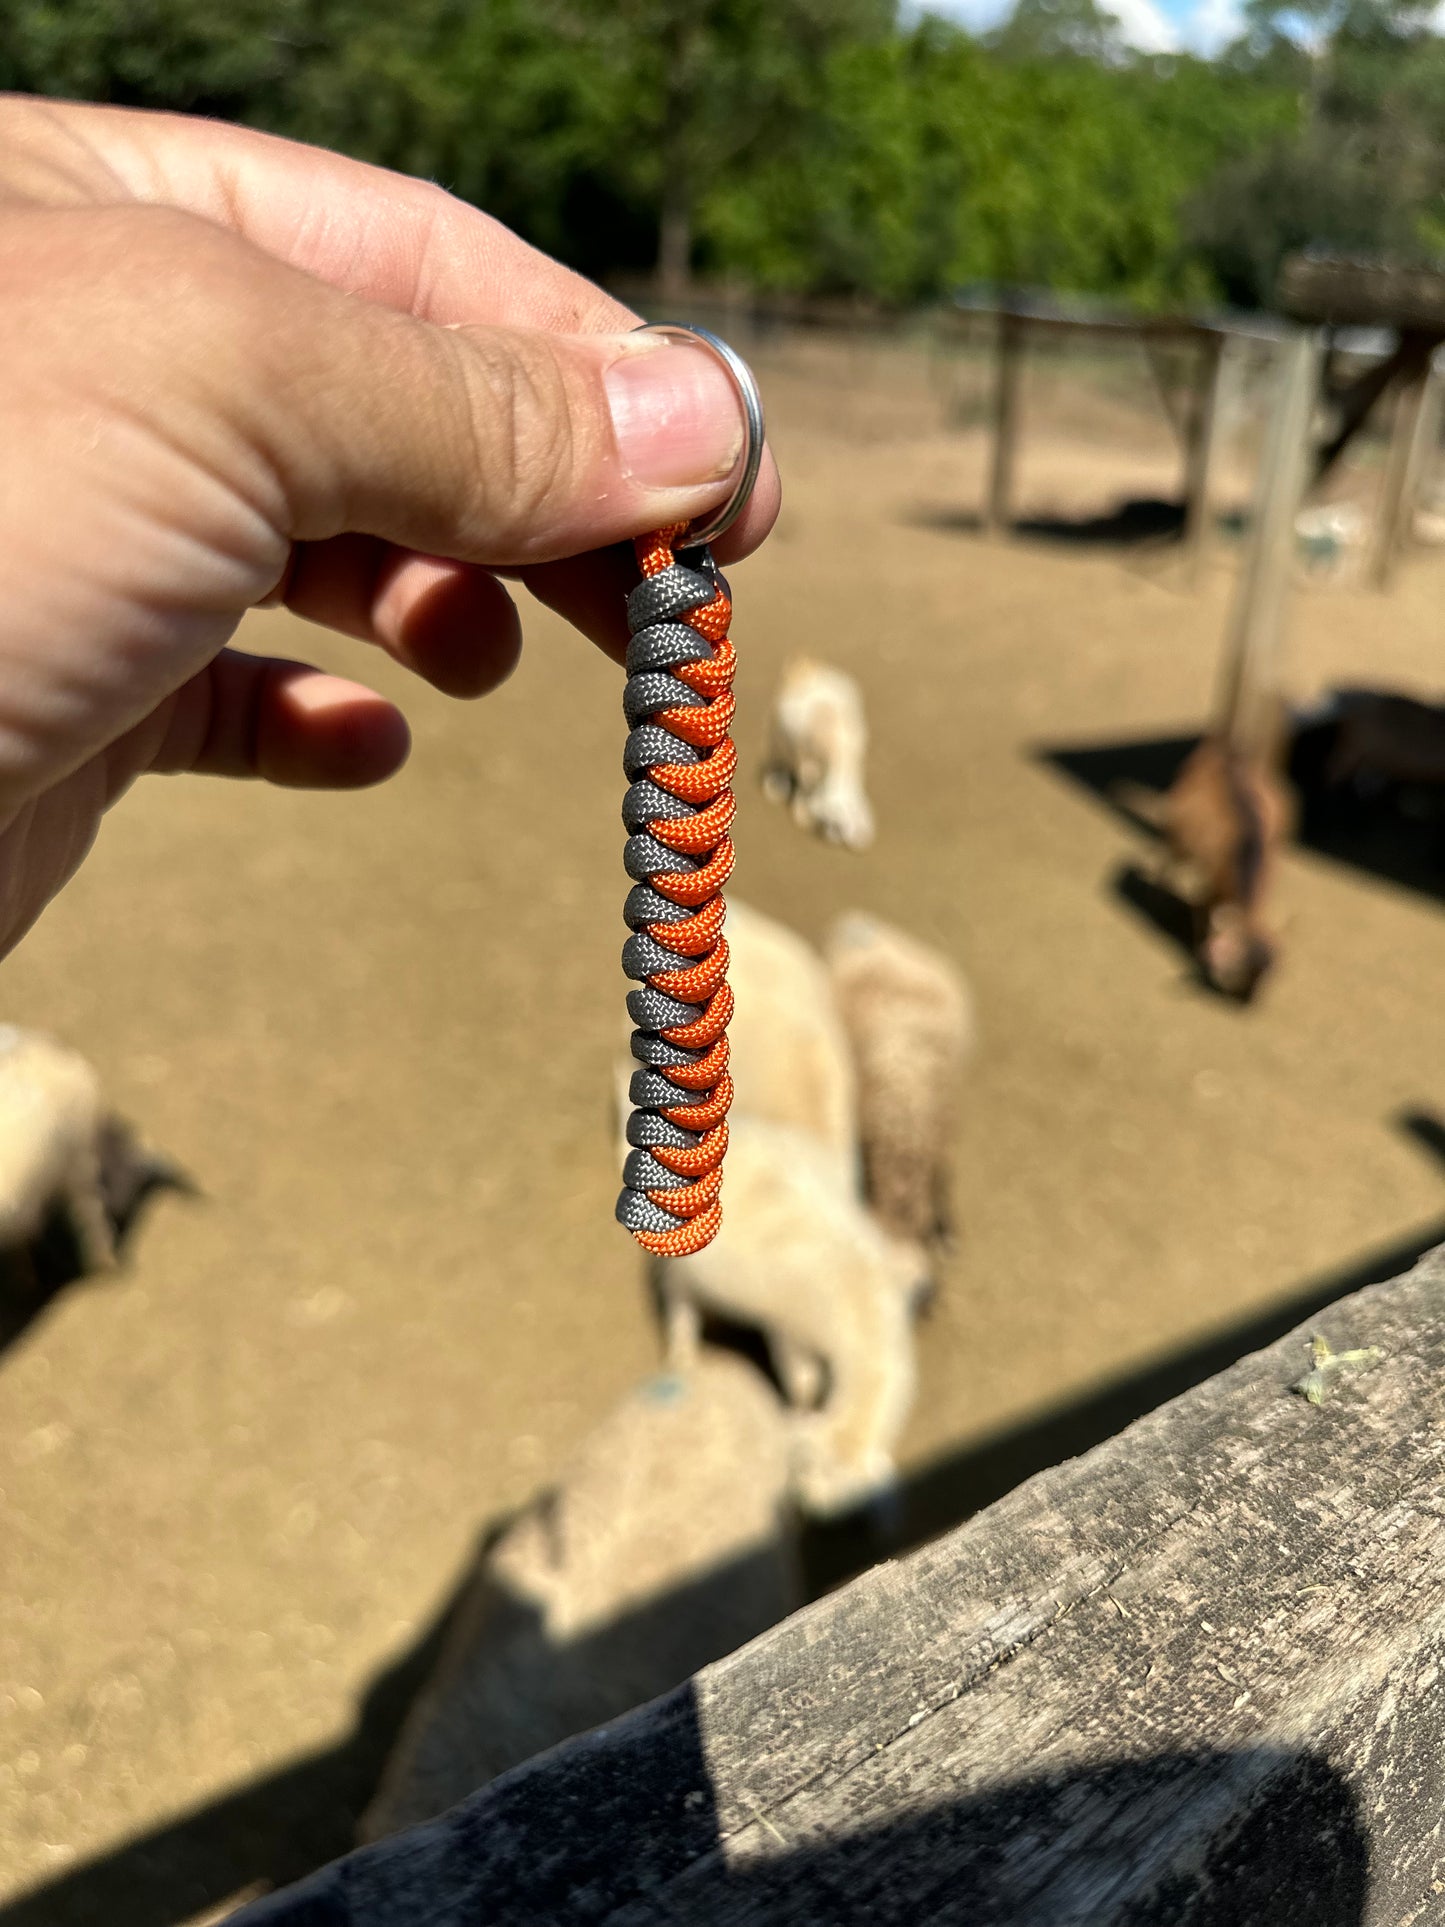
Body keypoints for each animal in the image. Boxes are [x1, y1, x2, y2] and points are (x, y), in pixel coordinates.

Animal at [762, 655, 878, 851]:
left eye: (856, 822)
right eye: (835, 825)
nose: (859, 843)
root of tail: (808, 667)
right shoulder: (806, 762)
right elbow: (805, 785)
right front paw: (801, 811)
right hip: (775, 735)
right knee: (776, 757)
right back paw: (776, 783)